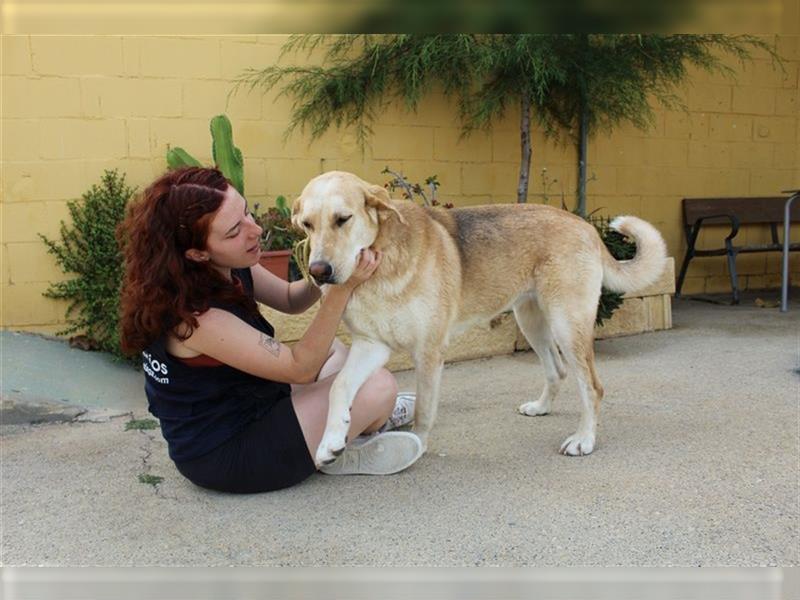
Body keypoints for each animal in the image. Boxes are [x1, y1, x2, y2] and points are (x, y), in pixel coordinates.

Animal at [296, 171, 668, 466]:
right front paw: (330, 442)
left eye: (343, 219)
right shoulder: (371, 346)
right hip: (531, 322)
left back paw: (584, 439)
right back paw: (542, 407)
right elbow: (339, 387)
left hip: (567, 326)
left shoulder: (429, 353)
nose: (318, 272)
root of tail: (585, 225)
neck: (384, 261)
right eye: (307, 225)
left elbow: (424, 411)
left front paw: (416, 445)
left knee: (592, 386)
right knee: (557, 370)